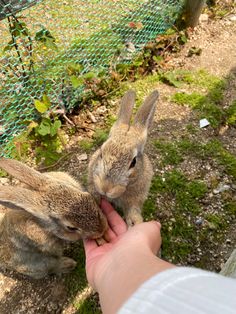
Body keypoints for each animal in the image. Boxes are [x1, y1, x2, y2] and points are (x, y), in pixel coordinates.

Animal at [88, 90, 159, 226]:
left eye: (133, 162)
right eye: (101, 153)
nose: (106, 188)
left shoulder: (135, 199)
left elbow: (133, 211)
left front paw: (135, 222)